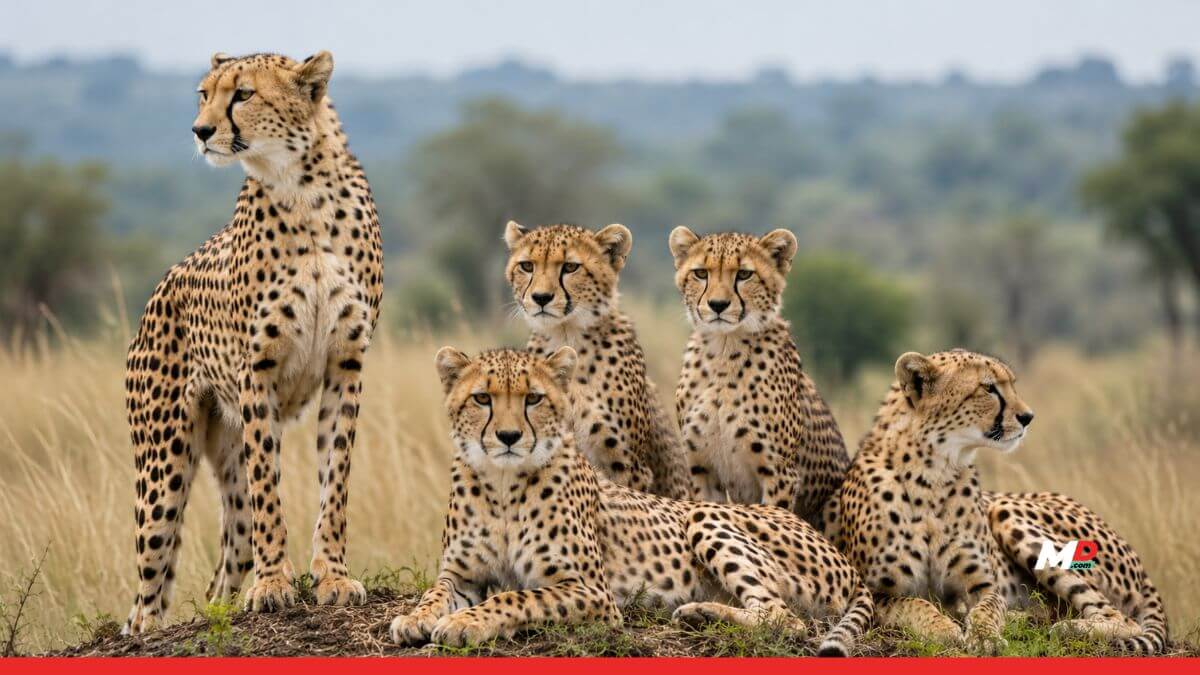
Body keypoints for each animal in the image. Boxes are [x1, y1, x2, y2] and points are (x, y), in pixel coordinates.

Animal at [122, 50, 383, 634]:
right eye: (204, 94)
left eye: (243, 94)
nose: (200, 131)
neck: (303, 190)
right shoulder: (256, 370)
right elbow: (269, 491)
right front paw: (273, 585)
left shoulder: (347, 363)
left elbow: (335, 483)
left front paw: (332, 576)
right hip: (162, 466)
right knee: (147, 590)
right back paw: (149, 629)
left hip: (223, 450)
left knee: (226, 560)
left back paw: (221, 604)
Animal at [389, 347, 874, 656]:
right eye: (482, 398)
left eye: (534, 398)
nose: (509, 437)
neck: (503, 483)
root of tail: (843, 557)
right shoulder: (462, 575)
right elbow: (435, 591)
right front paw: (416, 617)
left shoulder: (590, 590)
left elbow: (514, 599)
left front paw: (465, 623)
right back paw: (699, 613)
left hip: (705, 513)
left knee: (784, 618)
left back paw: (701, 612)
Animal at [668, 227, 849, 521]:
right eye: (701, 273)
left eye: (744, 274)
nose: (718, 304)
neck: (724, 349)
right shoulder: (702, 468)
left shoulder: (779, 473)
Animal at [822, 349, 1167, 654]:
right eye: (988, 388)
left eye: (1011, 384)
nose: (1028, 417)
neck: (933, 473)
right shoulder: (875, 590)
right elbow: (914, 603)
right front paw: (943, 627)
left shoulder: (984, 585)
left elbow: (988, 607)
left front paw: (985, 636)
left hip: (1005, 511)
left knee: (1120, 617)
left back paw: (1061, 627)